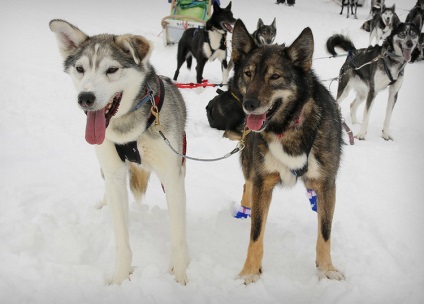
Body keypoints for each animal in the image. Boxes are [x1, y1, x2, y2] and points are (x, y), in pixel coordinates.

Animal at [48, 19, 190, 284]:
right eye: (80, 68)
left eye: (112, 70)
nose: (85, 97)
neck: (129, 131)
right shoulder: (114, 175)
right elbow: (122, 240)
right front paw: (120, 280)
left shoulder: (171, 176)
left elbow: (177, 237)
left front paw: (181, 278)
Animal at [232, 20, 344, 284]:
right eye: (248, 73)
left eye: (275, 76)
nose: (249, 104)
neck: (288, 126)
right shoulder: (263, 182)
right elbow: (256, 233)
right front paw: (250, 271)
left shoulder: (327, 183)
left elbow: (325, 232)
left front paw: (326, 269)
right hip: (251, 164)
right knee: (247, 184)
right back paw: (244, 209)